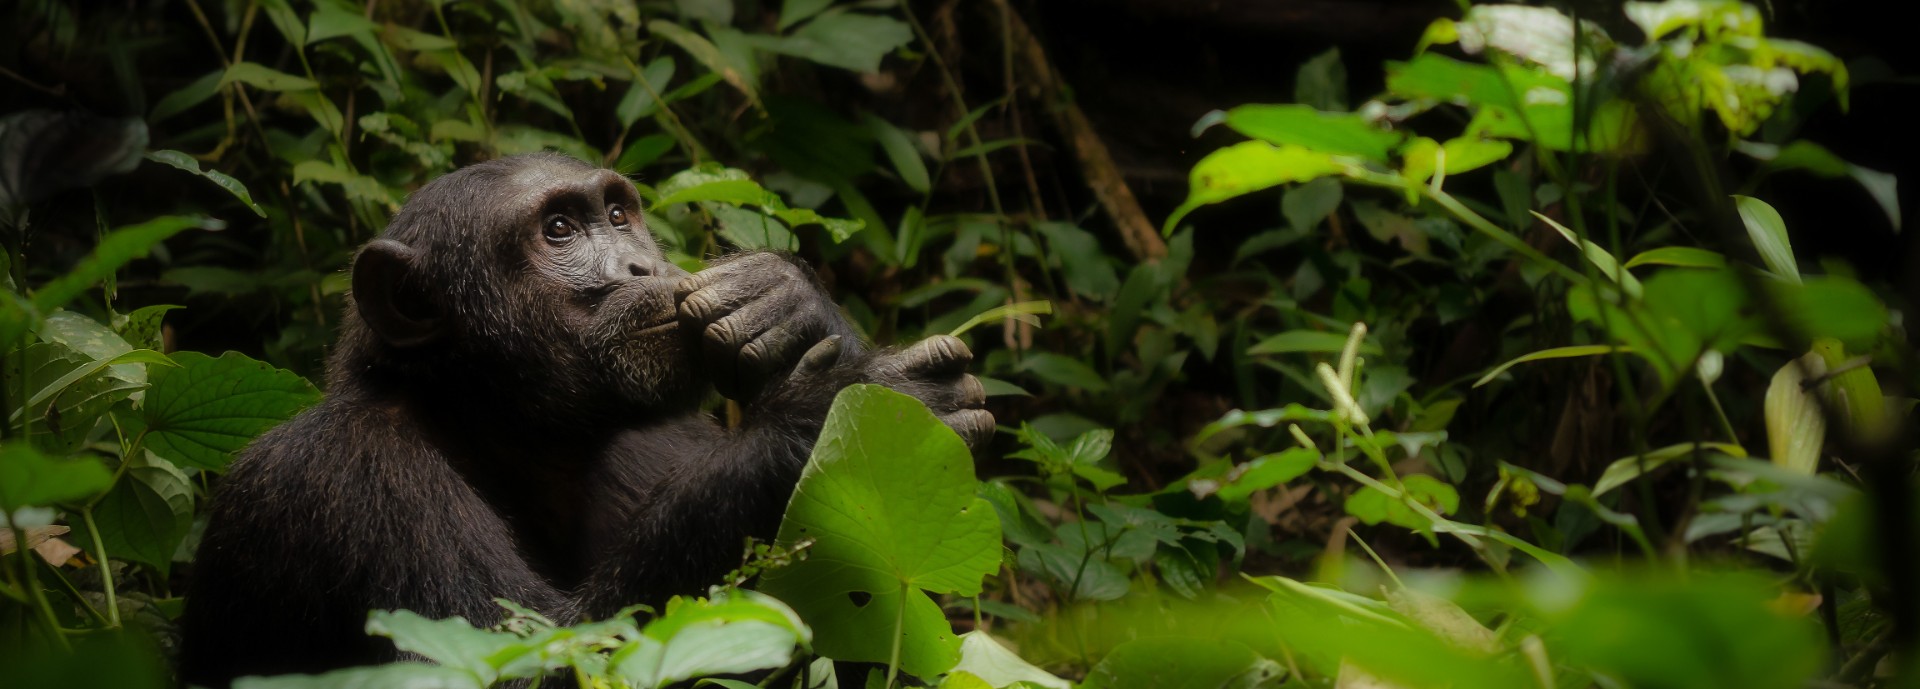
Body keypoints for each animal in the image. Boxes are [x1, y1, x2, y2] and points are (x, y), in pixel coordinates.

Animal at [178, 153, 990, 687]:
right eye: (561, 229)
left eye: (620, 216)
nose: (641, 265)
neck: (508, 427)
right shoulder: (351, 478)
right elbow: (530, 656)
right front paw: (845, 408)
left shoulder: (670, 436)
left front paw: (784, 298)